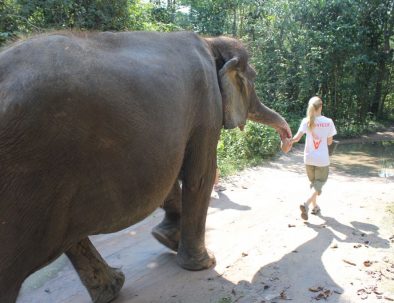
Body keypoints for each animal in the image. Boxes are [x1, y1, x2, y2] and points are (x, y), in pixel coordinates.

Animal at [0, 29, 290, 302]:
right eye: (253, 77)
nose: (287, 141)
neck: (211, 41)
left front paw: (167, 239)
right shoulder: (207, 104)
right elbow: (199, 176)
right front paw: (204, 264)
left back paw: (112, 288)